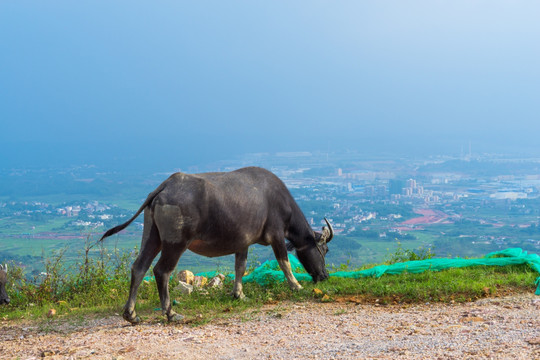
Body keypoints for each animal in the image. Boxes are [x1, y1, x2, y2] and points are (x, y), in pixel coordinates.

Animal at [99, 167, 332, 324]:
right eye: (324, 249)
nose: (324, 276)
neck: (279, 201)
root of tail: (165, 185)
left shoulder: (243, 243)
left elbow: (240, 267)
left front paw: (239, 294)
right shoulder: (276, 235)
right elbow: (284, 262)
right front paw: (296, 286)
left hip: (152, 236)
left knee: (139, 267)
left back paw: (131, 314)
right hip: (176, 242)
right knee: (161, 271)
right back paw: (171, 313)